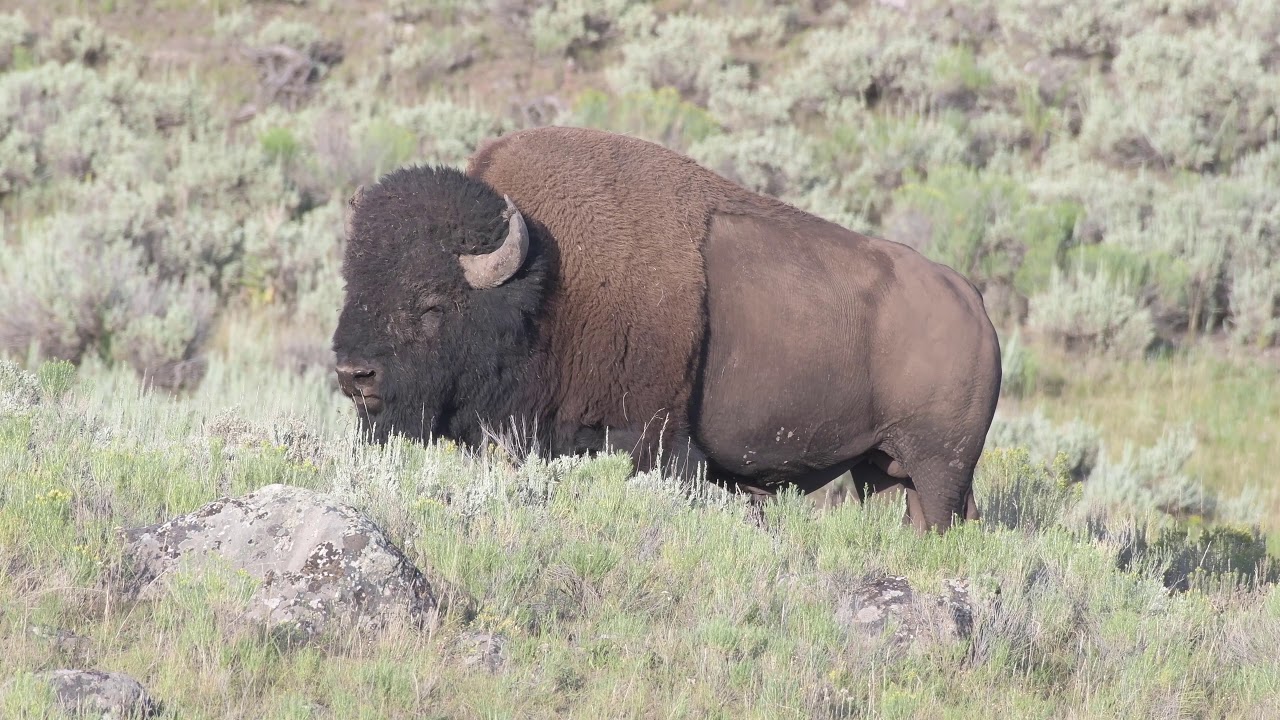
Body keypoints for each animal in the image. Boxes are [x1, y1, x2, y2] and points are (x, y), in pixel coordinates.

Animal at [331, 126, 1001, 533]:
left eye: (432, 303)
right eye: (352, 281)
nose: (354, 374)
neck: (548, 286)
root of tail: (972, 301)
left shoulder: (653, 442)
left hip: (939, 466)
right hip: (881, 467)